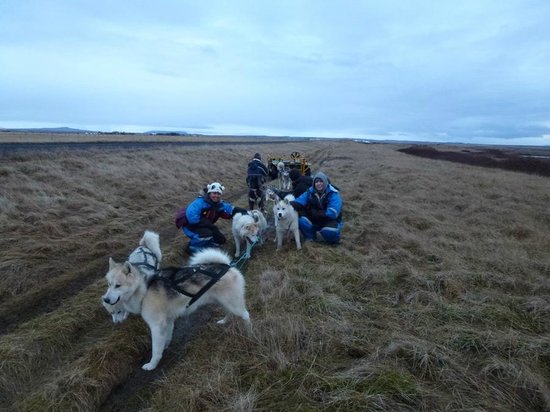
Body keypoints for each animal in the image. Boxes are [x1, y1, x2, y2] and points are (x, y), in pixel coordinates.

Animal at [102, 246, 251, 372]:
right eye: (109, 284)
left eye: (118, 285)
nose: (106, 299)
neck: (144, 288)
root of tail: (227, 265)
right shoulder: (167, 321)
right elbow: (166, 338)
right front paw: (165, 346)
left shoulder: (156, 325)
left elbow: (155, 350)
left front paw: (152, 365)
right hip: (222, 302)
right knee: (229, 312)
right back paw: (224, 321)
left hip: (233, 304)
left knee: (246, 315)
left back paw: (249, 332)